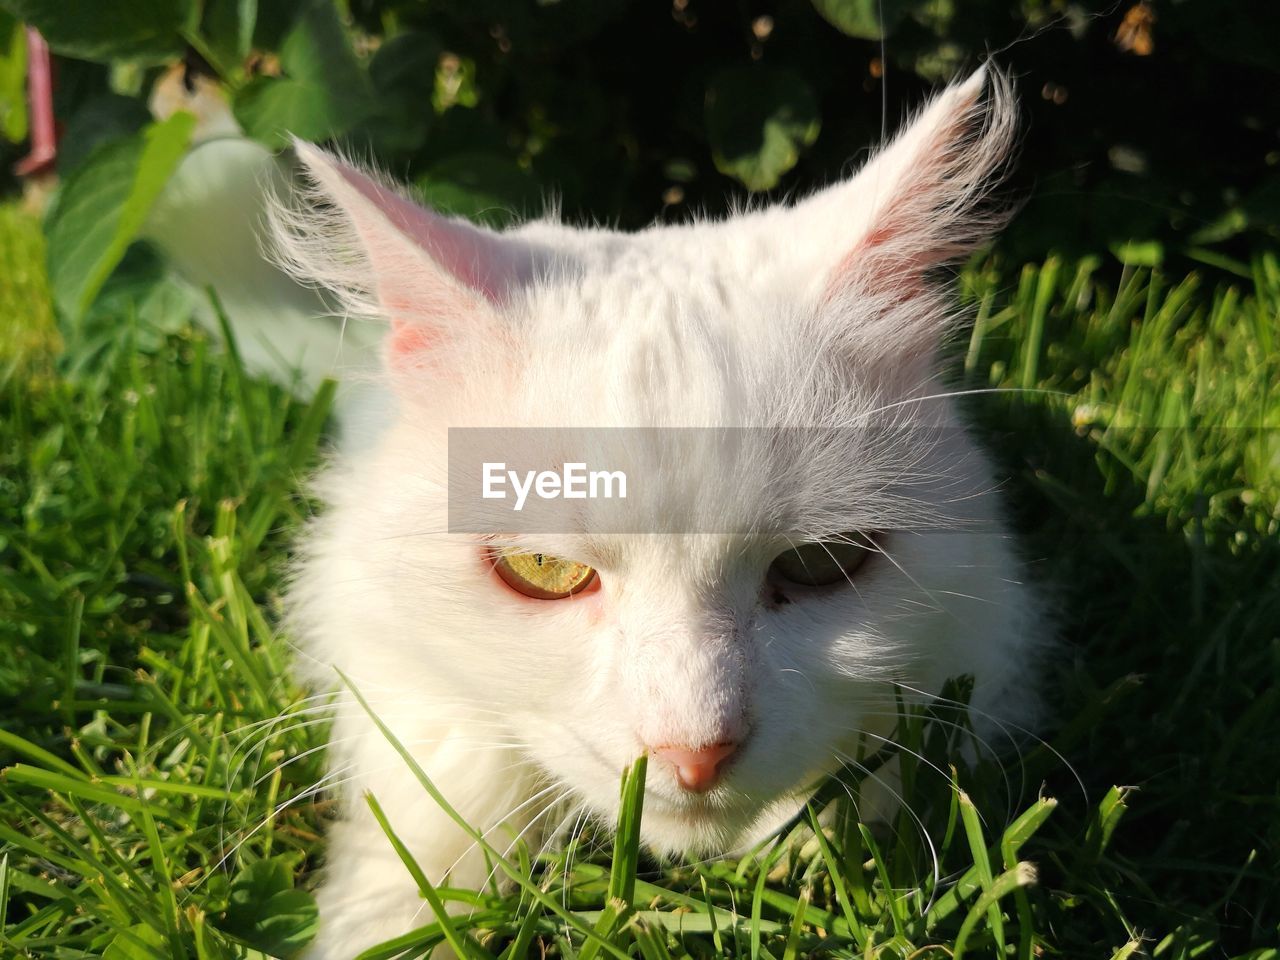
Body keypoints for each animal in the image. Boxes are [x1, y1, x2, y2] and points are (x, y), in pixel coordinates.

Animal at [254, 65, 1044, 957]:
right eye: (542, 570)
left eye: (821, 563)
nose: (694, 752)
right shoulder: (378, 647)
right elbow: (439, 803)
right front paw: (389, 920)